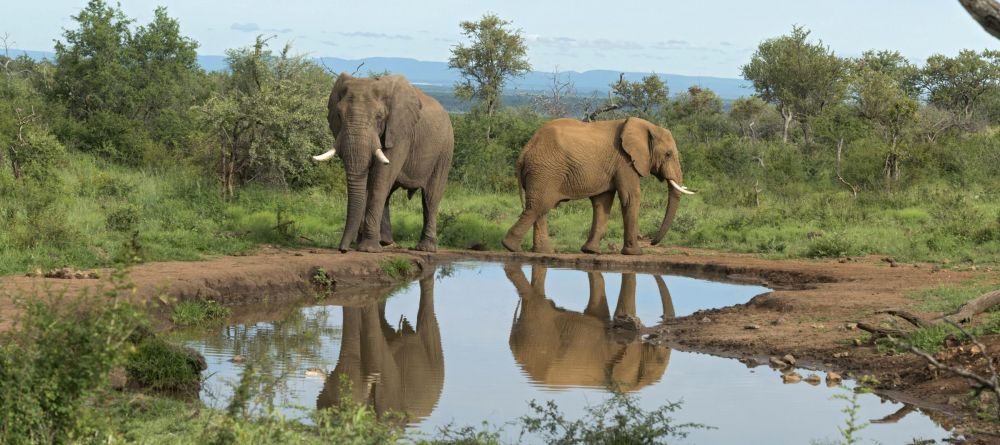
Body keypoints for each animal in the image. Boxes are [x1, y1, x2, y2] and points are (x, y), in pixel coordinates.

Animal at [312, 74, 454, 251]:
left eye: (379, 117)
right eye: (338, 115)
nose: (343, 249)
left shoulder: (400, 132)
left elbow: (380, 178)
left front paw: (367, 249)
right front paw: (366, 244)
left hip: (445, 149)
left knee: (430, 197)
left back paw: (424, 248)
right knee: (388, 192)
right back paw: (386, 242)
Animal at [500, 116, 696, 255]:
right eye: (668, 154)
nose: (652, 242)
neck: (645, 125)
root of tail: (525, 150)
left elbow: (602, 203)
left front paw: (590, 251)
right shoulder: (624, 162)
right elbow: (630, 197)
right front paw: (635, 253)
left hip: (543, 172)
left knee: (541, 209)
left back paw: (543, 252)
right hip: (545, 171)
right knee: (538, 207)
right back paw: (511, 247)